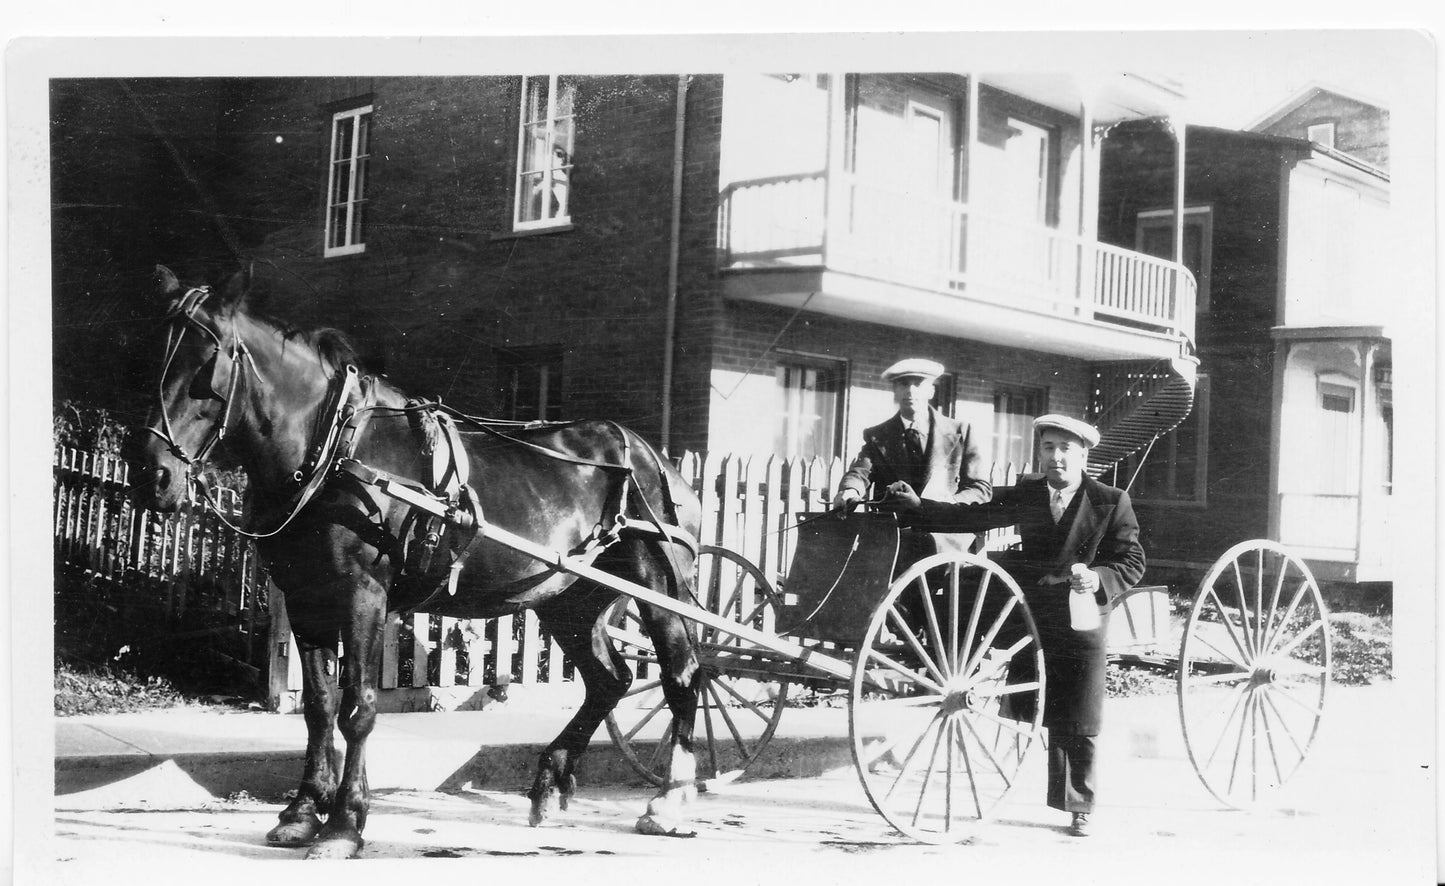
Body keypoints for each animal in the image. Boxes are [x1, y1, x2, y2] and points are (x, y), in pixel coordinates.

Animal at [132, 264, 708, 855]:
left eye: (210, 361)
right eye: (153, 354)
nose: (152, 474)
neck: (334, 448)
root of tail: (655, 457)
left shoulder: (361, 591)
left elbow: (359, 706)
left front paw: (345, 824)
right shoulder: (305, 596)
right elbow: (318, 706)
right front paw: (302, 812)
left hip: (658, 587)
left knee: (682, 676)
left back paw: (668, 800)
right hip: (569, 599)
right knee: (609, 680)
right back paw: (551, 781)